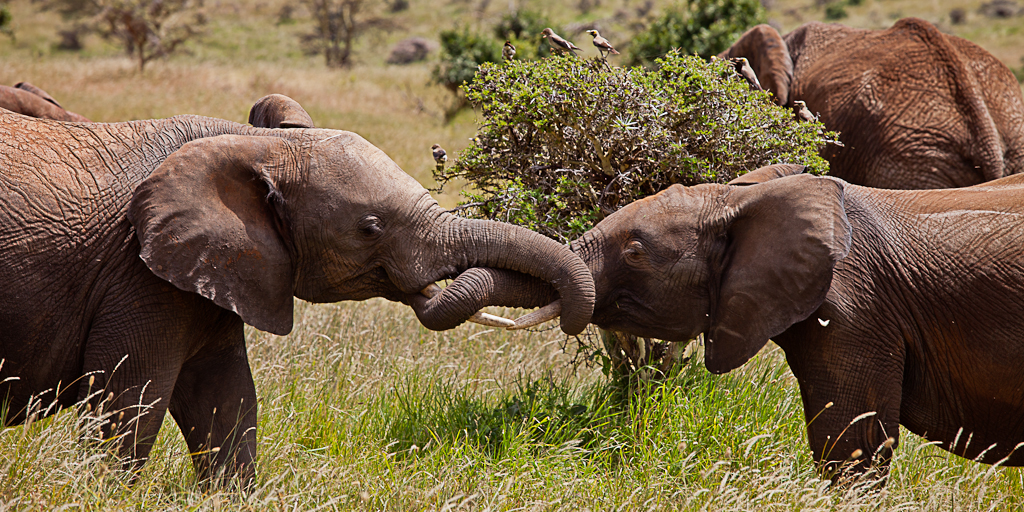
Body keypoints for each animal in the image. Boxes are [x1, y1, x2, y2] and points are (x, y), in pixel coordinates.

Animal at [0, 100, 593, 483]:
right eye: (370, 228)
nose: (569, 314)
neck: (250, 143)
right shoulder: (136, 274)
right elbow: (126, 406)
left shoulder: (214, 269)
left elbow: (227, 401)